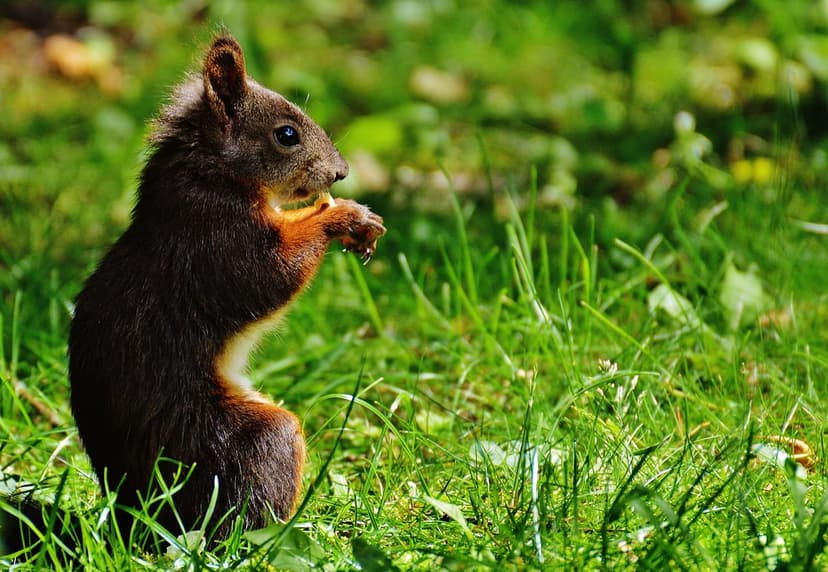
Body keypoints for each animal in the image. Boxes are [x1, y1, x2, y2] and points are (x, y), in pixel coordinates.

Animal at [67, 34, 385, 541]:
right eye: (286, 135)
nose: (341, 173)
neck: (213, 172)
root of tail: (137, 520)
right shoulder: (215, 241)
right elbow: (269, 273)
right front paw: (341, 216)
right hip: (238, 443)